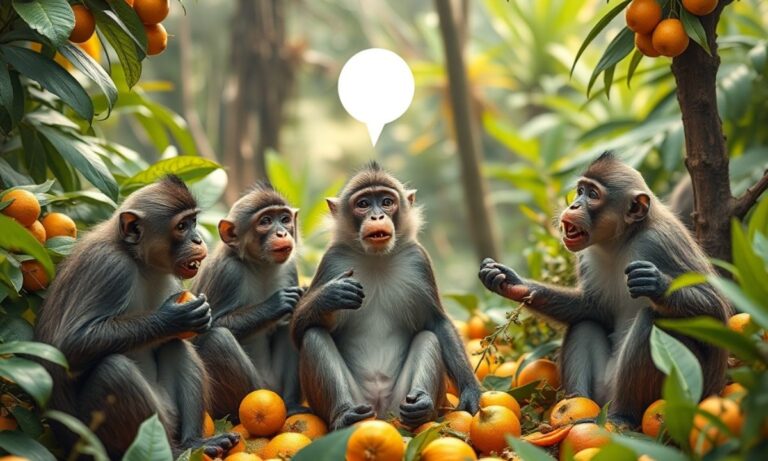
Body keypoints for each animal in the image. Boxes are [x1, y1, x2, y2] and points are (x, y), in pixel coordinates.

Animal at [34, 176, 239, 459]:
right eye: (182, 226)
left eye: (194, 222)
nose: (198, 239)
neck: (138, 261)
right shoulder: (110, 267)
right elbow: (71, 345)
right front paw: (173, 319)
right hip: (95, 439)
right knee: (114, 370)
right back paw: (170, 451)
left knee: (174, 345)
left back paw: (193, 443)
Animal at [191, 182, 305, 419]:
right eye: (265, 221)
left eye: (284, 219)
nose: (282, 232)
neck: (260, 265)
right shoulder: (227, 273)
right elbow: (202, 332)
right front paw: (276, 304)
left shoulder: (289, 268)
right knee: (218, 339)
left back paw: (291, 404)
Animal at [291, 162, 481, 430]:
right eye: (363, 204)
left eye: (386, 201)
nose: (377, 216)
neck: (376, 259)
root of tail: (381, 414)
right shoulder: (333, 260)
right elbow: (299, 333)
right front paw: (330, 296)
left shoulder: (418, 260)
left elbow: (437, 323)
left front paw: (471, 391)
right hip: (361, 402)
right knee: (313, 336)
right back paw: (344, 415)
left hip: (398, 403)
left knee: (429, 338)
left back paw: (422, 408)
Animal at [479, 153, 730, 425]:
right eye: (580, 191)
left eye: (592, 195)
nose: (574, 205)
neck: (620, 241)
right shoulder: (587, 256)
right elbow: (592, 309)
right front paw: (512, 283)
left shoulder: (659, 242)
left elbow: (717, 311)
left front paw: (656, 285)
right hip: (603, 389)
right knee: (584, 324)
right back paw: (574, 408)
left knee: (653, 321)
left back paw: (623, 416)